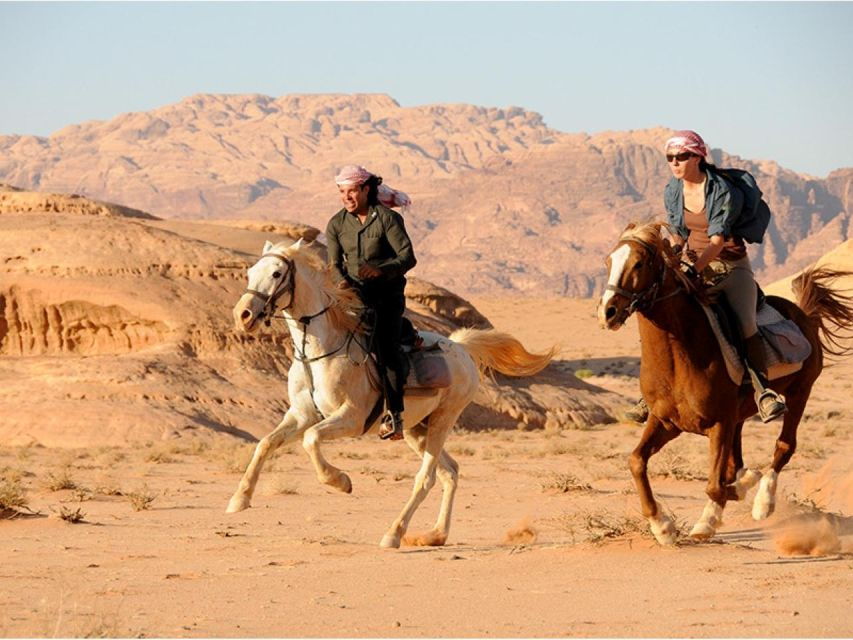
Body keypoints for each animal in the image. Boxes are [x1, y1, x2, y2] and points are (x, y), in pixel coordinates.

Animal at [226, 239, 554, 548]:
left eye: (276, 273)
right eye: (250, 273)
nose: (243, 315)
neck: (319, 351)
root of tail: (461, 348)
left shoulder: (351, 418)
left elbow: (311, 440)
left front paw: (341, 481)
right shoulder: (302, 415)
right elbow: (265, 444)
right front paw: (239, 499)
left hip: (443, 420)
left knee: (426, 478)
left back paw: (394, 534)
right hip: (415, 429)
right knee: (450, 471)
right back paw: (436, 535)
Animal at [597, 222, 853, 544]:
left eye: (639, 263)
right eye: (609, 262)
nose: (607, 312)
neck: (680, 356)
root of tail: (804, 315)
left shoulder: (718, 424)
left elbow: (716, 485)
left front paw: (713, 516)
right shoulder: (666, 422)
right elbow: (636, 461)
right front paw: (662, 526)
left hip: (799, 394)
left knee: (784, 446)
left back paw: (762, 503)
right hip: (740, 415)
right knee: (736, 461)